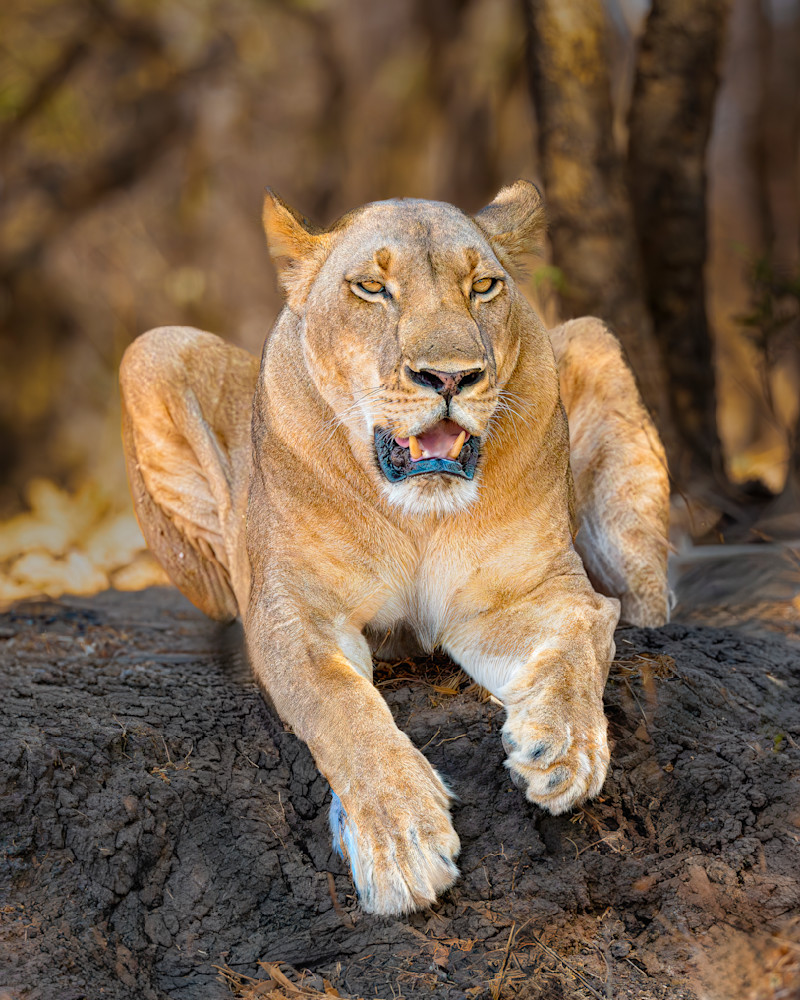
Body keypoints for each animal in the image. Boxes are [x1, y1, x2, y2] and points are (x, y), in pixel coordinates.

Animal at [120, 181, 670, 915]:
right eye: (373, 288)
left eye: (484, 285)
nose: (451, 378)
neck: (419, 515)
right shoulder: (296, 614)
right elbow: (341, 708)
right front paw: (401, 838)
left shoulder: (521, 597)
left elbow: (584, 633)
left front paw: (562, 750)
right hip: (152, 351)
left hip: (593, 342)